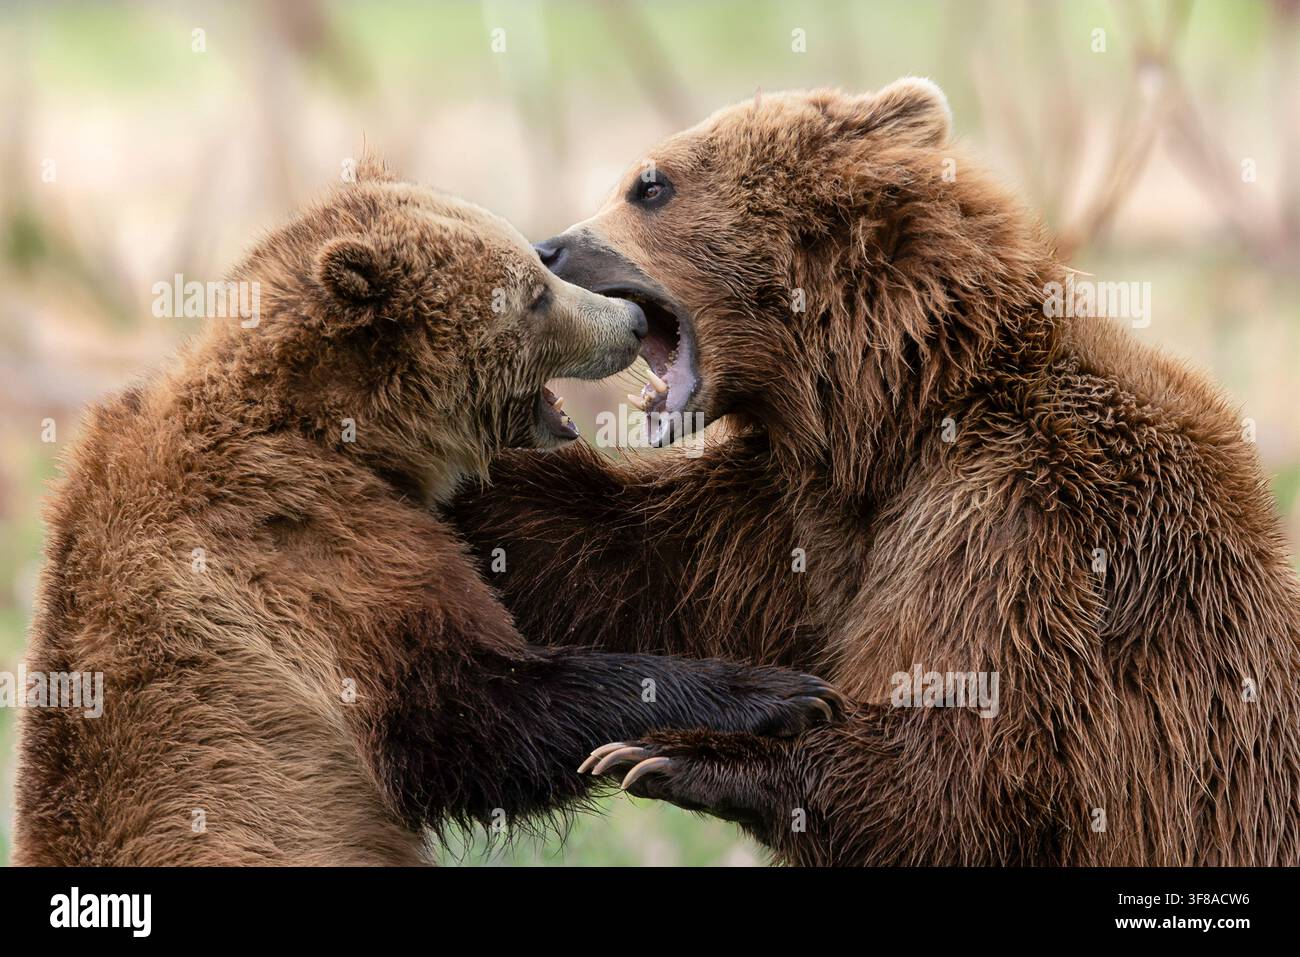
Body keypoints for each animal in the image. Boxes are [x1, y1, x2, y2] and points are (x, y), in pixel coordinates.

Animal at [11, 159, 844, 866]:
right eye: (533, 291)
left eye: (536, 266)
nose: (630, 323)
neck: (336, 434)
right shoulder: (305, 554)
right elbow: (467, 713)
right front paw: (778, 692)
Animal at [449, 79, 1300, 865]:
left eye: (649, 185)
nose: (549, 248)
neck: (898, 410)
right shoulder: (791, 518)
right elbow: (614, 559)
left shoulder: (1021, 519)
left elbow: (970, 765)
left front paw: (681, 749)